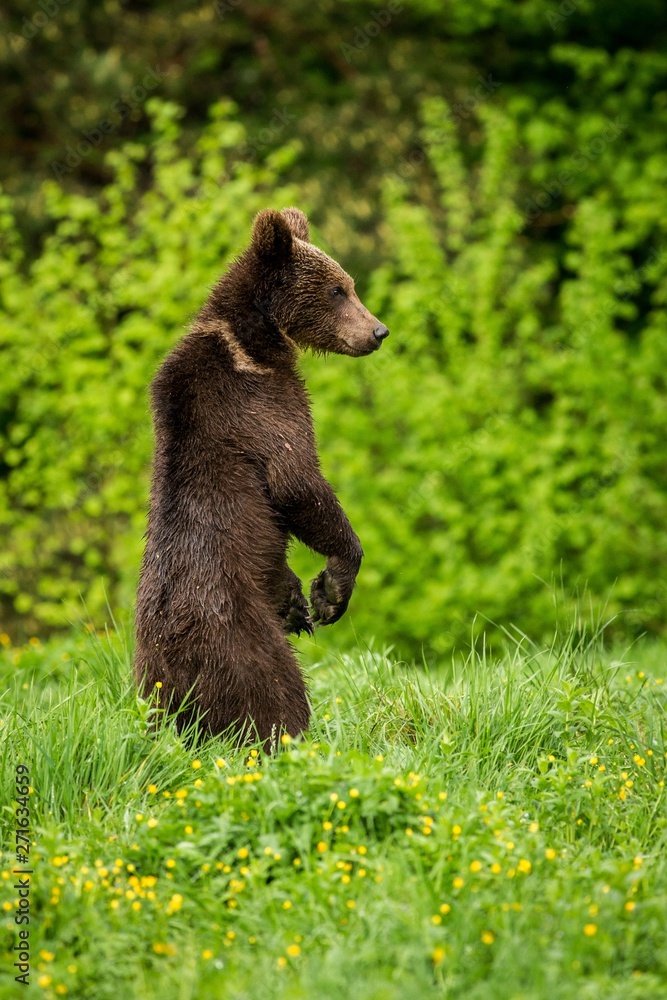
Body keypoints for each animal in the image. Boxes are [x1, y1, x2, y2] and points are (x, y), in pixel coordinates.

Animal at [134, 207, 389, 746]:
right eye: (338, 289)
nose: (379, 331)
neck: (254, 342)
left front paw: (299, 601)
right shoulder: (259, 405)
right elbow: (299, 484)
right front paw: (331, 591)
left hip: (148, 678)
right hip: (236, 636)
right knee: (274, 688)